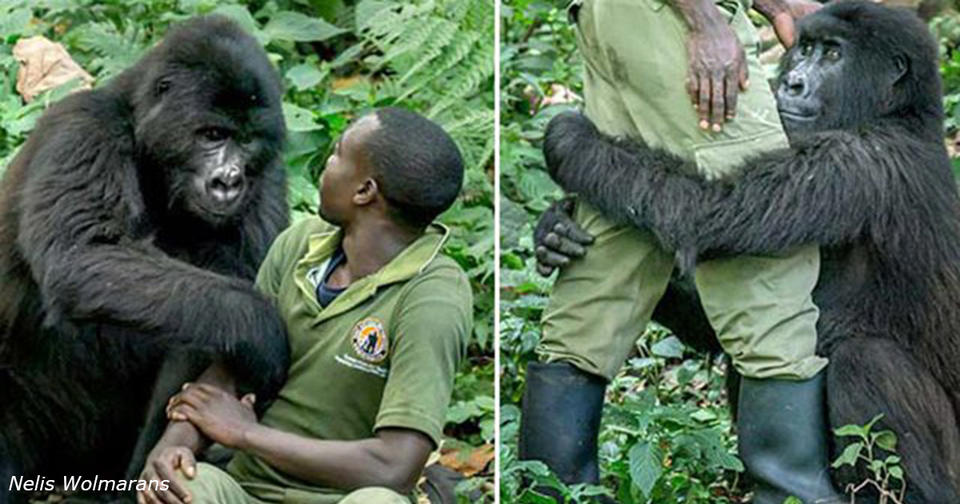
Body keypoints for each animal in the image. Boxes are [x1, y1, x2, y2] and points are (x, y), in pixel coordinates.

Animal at [0, 15, 292, 504]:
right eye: (213, 135)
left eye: (248, 141)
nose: (229, 181)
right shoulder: (84, 128)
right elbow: (83, 253)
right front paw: (262, 326)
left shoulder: (267, 173)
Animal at [536, 1, 960, 502]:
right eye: (806, 49)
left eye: (833, 54)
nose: (792, 82)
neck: (897, 113)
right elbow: (713, 325)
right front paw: (552, 233)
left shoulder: (857, 161)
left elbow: (704, 215)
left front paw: (572, 143)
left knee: (866, 360)